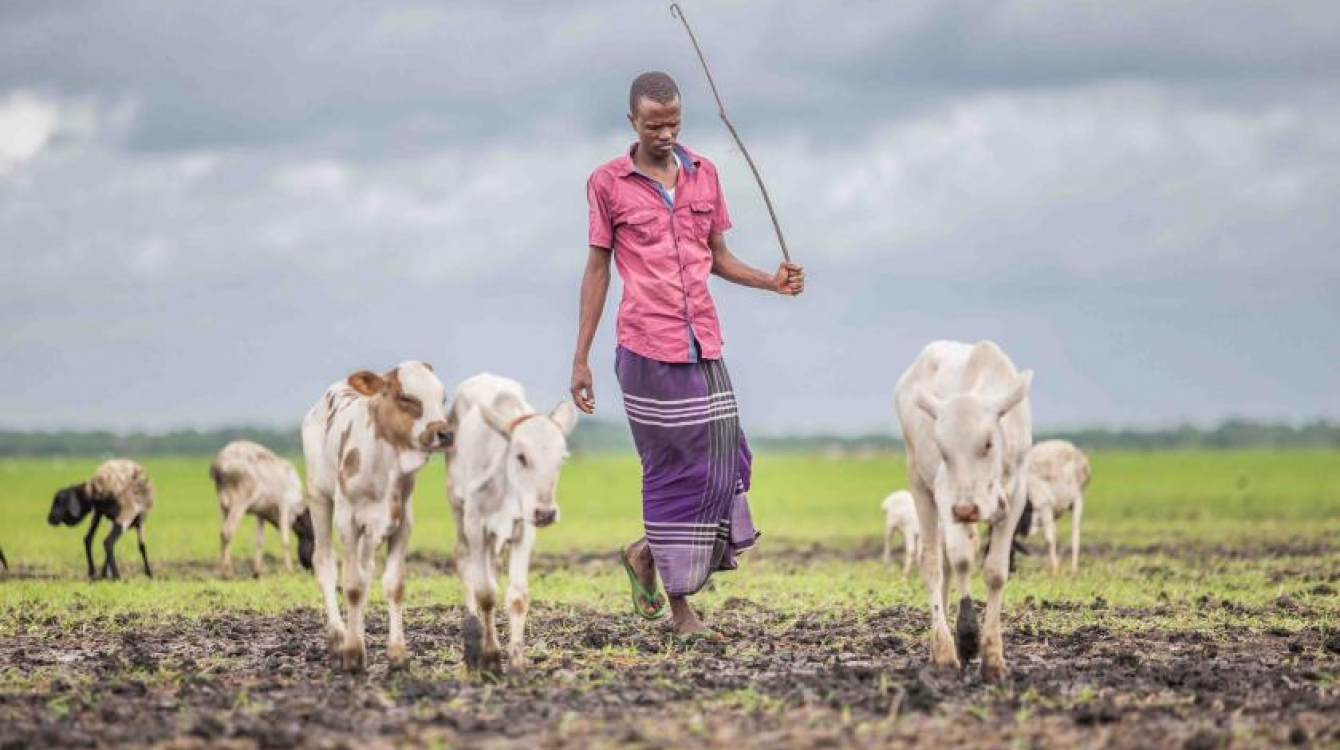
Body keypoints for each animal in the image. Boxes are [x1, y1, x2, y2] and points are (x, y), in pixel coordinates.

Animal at [211, 439, 316, 581]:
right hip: (239, 501)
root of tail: (219, 464)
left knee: (222, 530)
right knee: (227, 532)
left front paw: (257, 572)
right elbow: (285, 540)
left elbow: (259, 541)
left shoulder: (261, 514)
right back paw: (228, 573)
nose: (312, 570)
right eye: (315, 541)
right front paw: (289, 570)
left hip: (222, 505)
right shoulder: (285, 505)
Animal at [301, 364, 452, 675]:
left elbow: (392, 585)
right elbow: (353, 586)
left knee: (365, 570)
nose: (444, 433)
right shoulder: (347, 521)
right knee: (324, 562)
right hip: (319, 498)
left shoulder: (402, 524)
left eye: (442, 398)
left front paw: (397, 653)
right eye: (406, 398)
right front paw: (352, 652)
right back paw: (338, 635)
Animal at [447, 372, 578, 675]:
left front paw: (517, 663)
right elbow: (485, 593)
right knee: (465, 565)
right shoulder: (474, 524)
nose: (546, 513)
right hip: (458, 507)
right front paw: (491, 657)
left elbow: (517, 596)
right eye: (521, 456)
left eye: (560, 460)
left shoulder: (523, 529)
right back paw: (472, 632)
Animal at [900, 342, 1034, 683]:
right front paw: (967, 637)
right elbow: (961, 560)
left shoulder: (1016, 497)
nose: (965, 508)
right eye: (943, 449)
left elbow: (996, 572)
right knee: (934, 563)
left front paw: (993, 659)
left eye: (987, 443)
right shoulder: (946, 494)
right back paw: (944, 651)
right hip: (919, 484)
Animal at [1023, 439, 1088, 573]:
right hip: (1057, 511)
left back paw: (1074, 570)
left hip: (1078, 499)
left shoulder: (1044, 505)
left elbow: (1049, 539)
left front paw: (1053, 570)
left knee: (1075, 532)